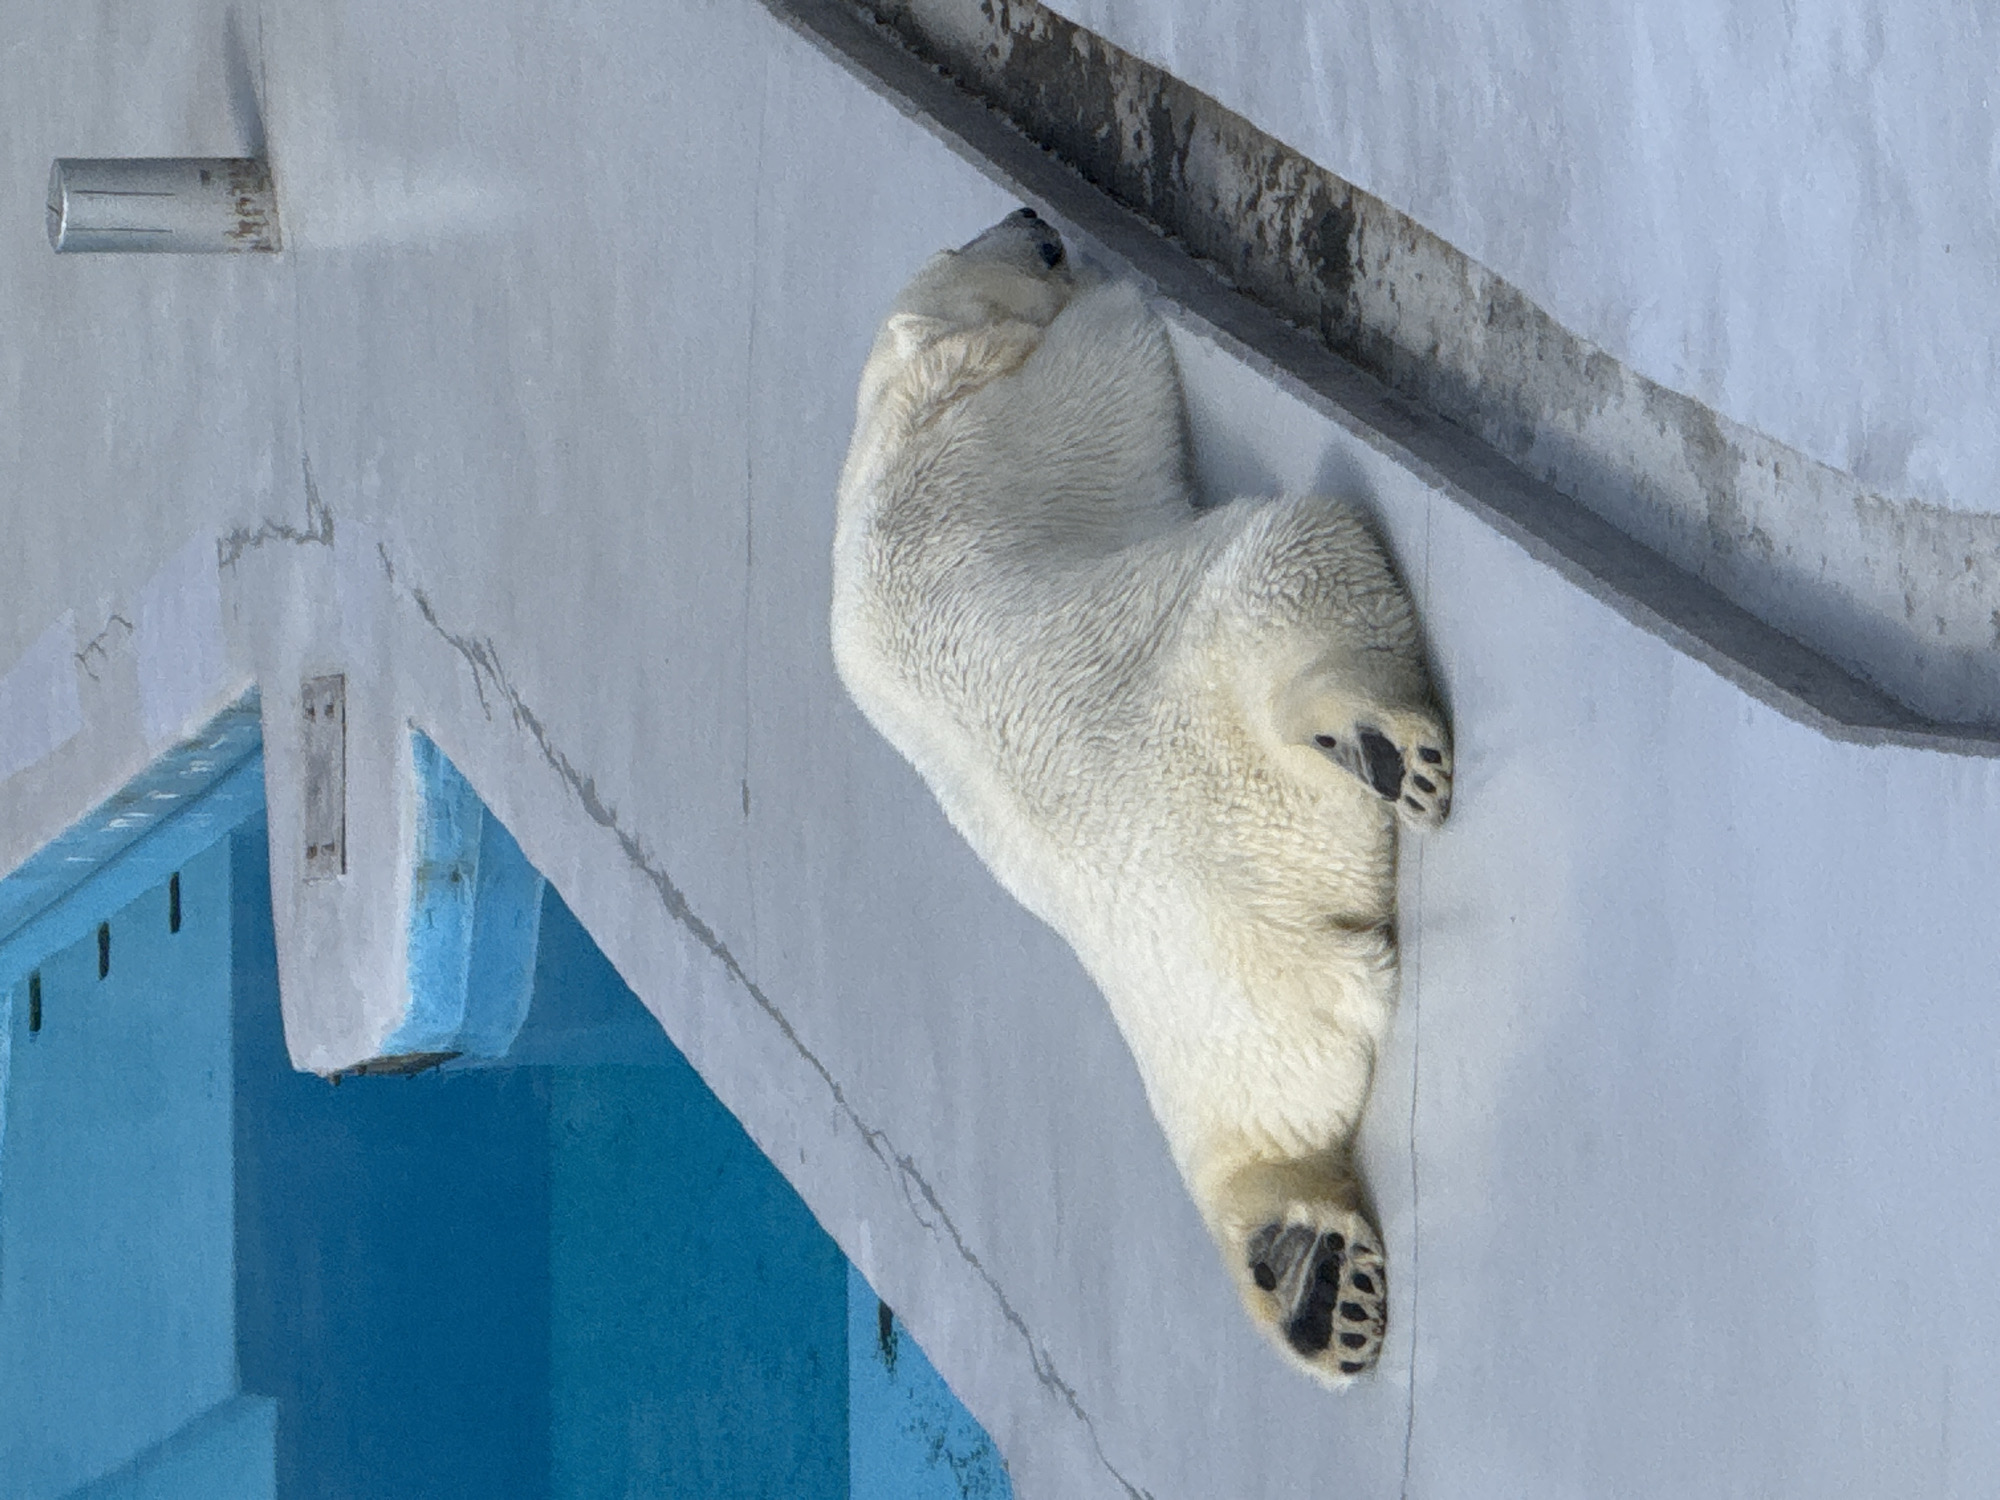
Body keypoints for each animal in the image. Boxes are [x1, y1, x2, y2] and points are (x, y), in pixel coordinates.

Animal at [831, 208, 1451, 1386]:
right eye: (985, 245)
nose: (1034, 218)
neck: (896, 406)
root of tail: (1304, 948)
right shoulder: (1006, 416)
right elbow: (1118, 354)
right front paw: (1120, 284)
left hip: (1198, 1024)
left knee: (1251, 1128)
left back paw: (1307, 1280)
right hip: (1222, 670)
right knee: (1305, 555)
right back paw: (1376, 739)